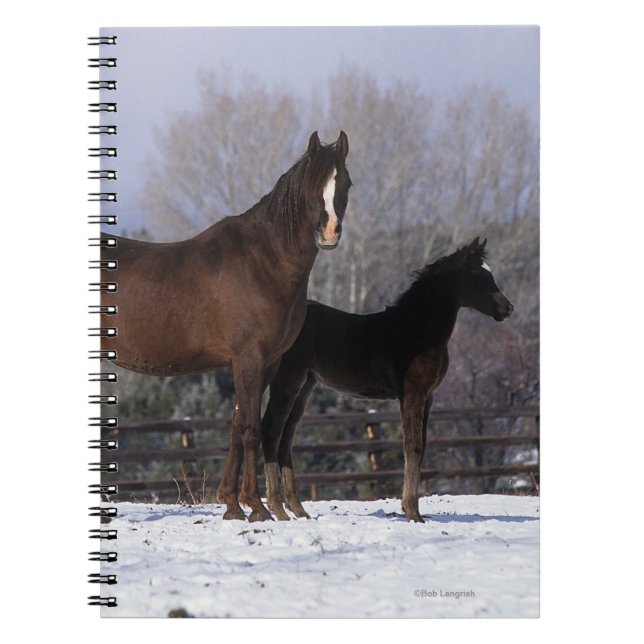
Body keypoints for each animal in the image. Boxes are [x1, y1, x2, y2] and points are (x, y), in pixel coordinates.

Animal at [101, 131, 351, 521]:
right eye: (312, 186)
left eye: (346, 183)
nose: (329, 233)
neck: (263, 260)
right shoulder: (248, 357)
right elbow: (250, 429)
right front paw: (258, 507)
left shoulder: (265, 362)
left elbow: (236, 426)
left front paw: (233, 505)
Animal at [261, 238, 513, 523]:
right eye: (478, 276)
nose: (507, 308)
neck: (418, 330)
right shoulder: (412, 392)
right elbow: (413, 447)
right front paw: (412, 512)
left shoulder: (428, 397)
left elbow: (422, 447)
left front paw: (412, 509)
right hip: (286, 381)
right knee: (270, 431)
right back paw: (277, 509)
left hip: (305, 387)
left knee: (286, 438)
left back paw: (298, 510)